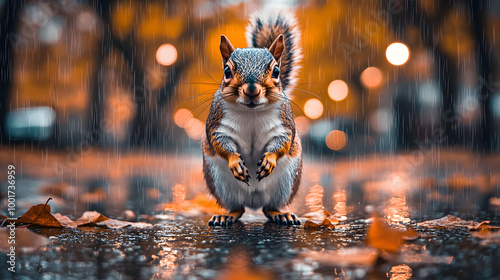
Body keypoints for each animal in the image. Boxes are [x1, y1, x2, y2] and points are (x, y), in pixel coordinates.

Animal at [201, 10, 302, 226]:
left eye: (276, 71)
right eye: (227, 71)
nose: (252, 90)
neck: (252, 112)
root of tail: (253, 203)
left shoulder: (284, 125)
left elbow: (283, 142)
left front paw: (269, 160)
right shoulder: (217, 124)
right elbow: (220, 142)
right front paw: (235, 162)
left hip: (286, 183)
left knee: (268, 208)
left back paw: (281, 214)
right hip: (221, 185)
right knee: (237, 209)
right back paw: (226, 215)